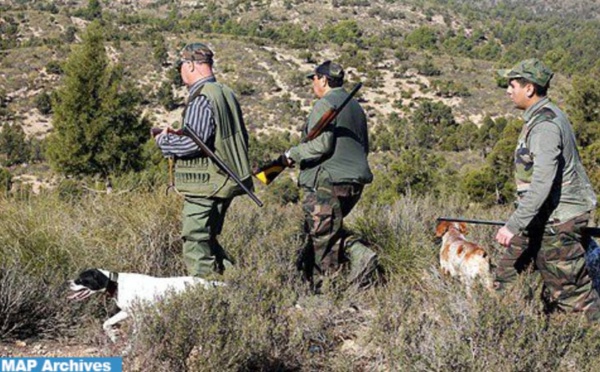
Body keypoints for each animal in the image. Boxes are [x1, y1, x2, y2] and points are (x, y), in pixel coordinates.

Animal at [68, 268, 223, 342]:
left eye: (81, 280)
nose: (68, 282)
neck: (116, 283)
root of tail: (209, 283)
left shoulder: (138, 317)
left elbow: (134, 338)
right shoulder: (126, 312)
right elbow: (106, 324)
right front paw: (113, 337)